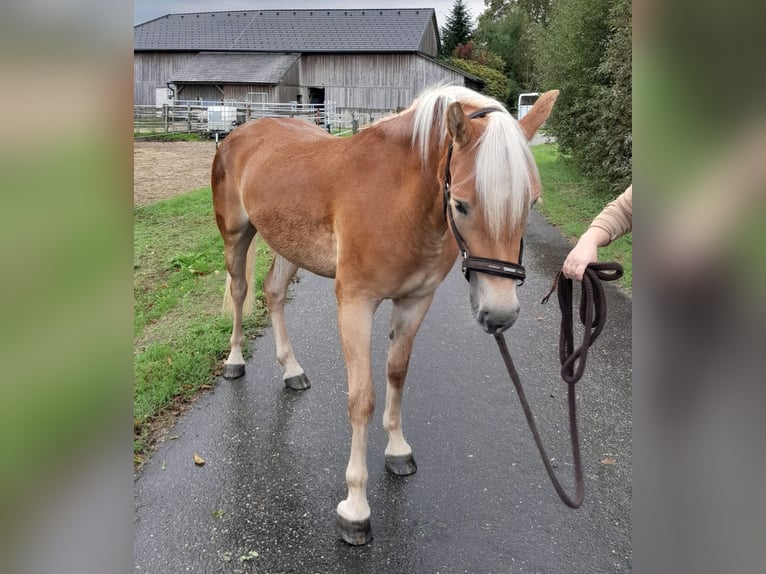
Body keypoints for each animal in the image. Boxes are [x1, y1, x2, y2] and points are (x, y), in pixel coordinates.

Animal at [213, 83, 560, 548]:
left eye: (531, 201)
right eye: (461, 204)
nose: (499, 314)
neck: (400, 200)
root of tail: (240, 132)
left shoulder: (415, 302)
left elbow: (397, 373)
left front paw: (397, 449)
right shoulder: (355, 304)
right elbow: (362, 398)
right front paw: (355, 507)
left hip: (288, 244)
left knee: (274, 293)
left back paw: (292, 370)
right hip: (236, 236)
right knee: (239, 293)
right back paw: (234, 361)